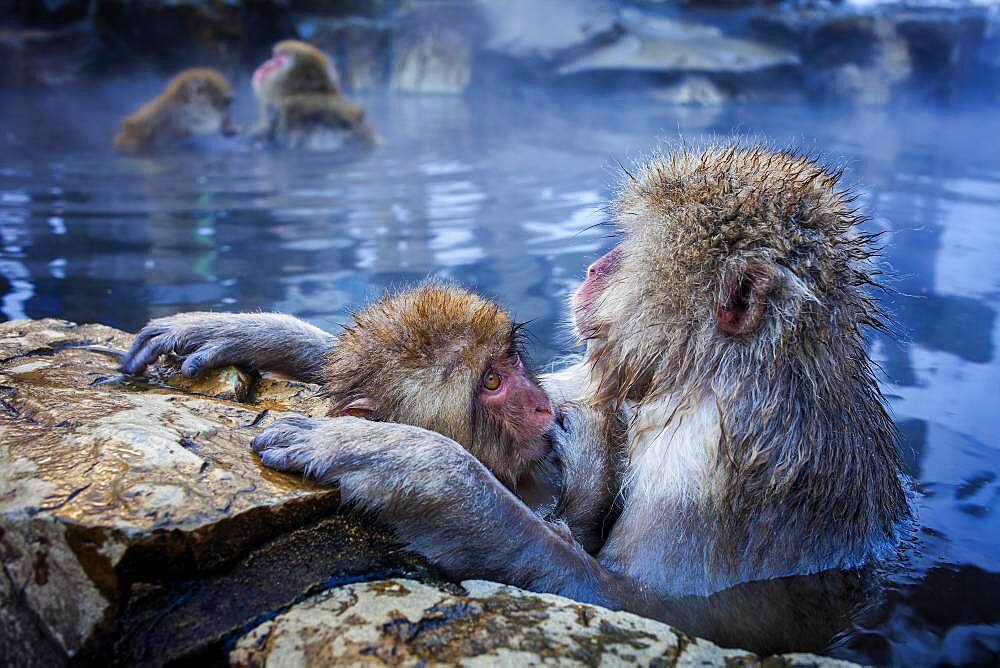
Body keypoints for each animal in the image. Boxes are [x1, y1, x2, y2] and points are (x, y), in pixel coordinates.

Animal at [242, 145, 916, 648]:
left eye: (631, 253)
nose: (596, 268)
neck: (717, 373)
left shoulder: (706, 469)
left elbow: (648, 606)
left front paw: (400, 460)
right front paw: (252, 334)